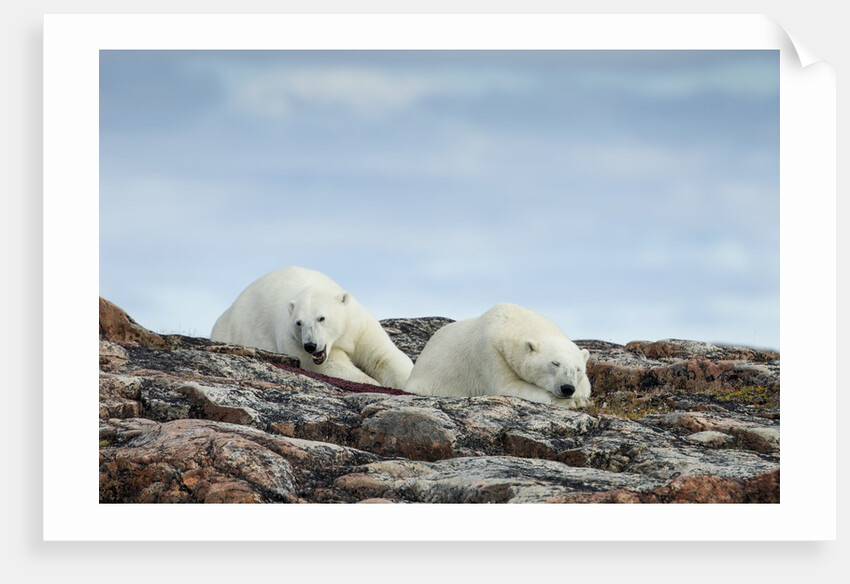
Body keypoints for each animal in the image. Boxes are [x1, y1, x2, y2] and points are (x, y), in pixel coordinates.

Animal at [210, 266, 414, 389]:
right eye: (299, 323)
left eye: (321, 318)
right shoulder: (293, 341)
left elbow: (383, 357)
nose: (310, 345)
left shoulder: (360, 328)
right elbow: (332, 366)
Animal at [404, 302, 591, 407]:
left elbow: (587, 387)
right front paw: (576, 402)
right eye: (555, 363)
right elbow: (508, 387)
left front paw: (580, 397)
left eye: (578, 369)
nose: (567, 388)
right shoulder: (489, 353)